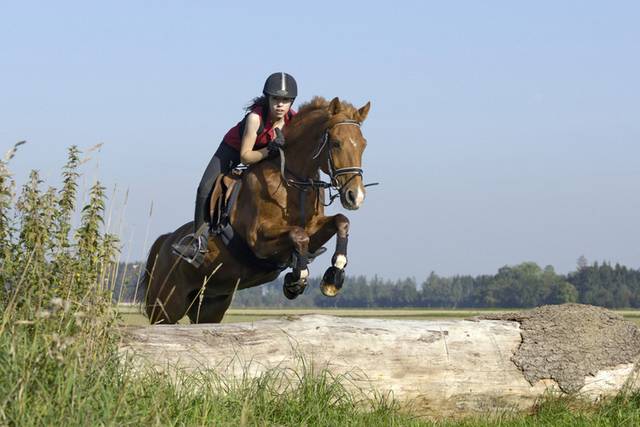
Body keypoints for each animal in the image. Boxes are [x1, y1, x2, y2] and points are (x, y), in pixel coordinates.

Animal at [140, 97, 370, 324]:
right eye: (336, 143)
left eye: (363, 145)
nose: (355, 196)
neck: (294, 181)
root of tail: (166, 240)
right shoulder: (258, 240)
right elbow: (299, 235)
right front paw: (297, 279)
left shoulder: (313, 228)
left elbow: (341, 221)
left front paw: (333, 277)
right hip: (166, 306)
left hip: (210, 305)